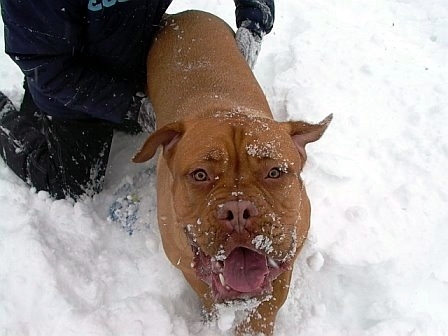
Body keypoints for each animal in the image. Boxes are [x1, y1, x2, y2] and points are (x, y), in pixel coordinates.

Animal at [131, 10, 330, 336]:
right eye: (200, 175)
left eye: (275, 172)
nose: (238, 210)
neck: (223, 108)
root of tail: (181, 14)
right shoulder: (186, 265)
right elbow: (208, 295)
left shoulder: (288, 254)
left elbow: (267, 304)